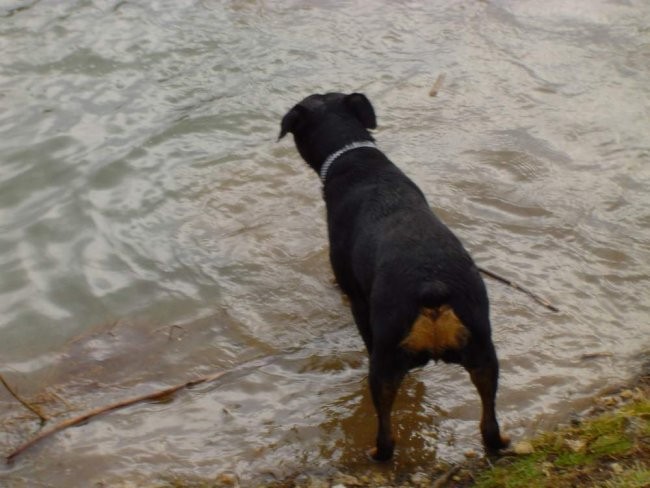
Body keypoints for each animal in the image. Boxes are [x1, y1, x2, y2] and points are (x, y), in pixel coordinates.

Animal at [276, 92, 508, 462]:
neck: (355, 159)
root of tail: (432, 287)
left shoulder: (357, 299)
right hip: (484, 353)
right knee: (489, 420)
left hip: (386, 362)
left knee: (386, 429)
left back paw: (376, 454)